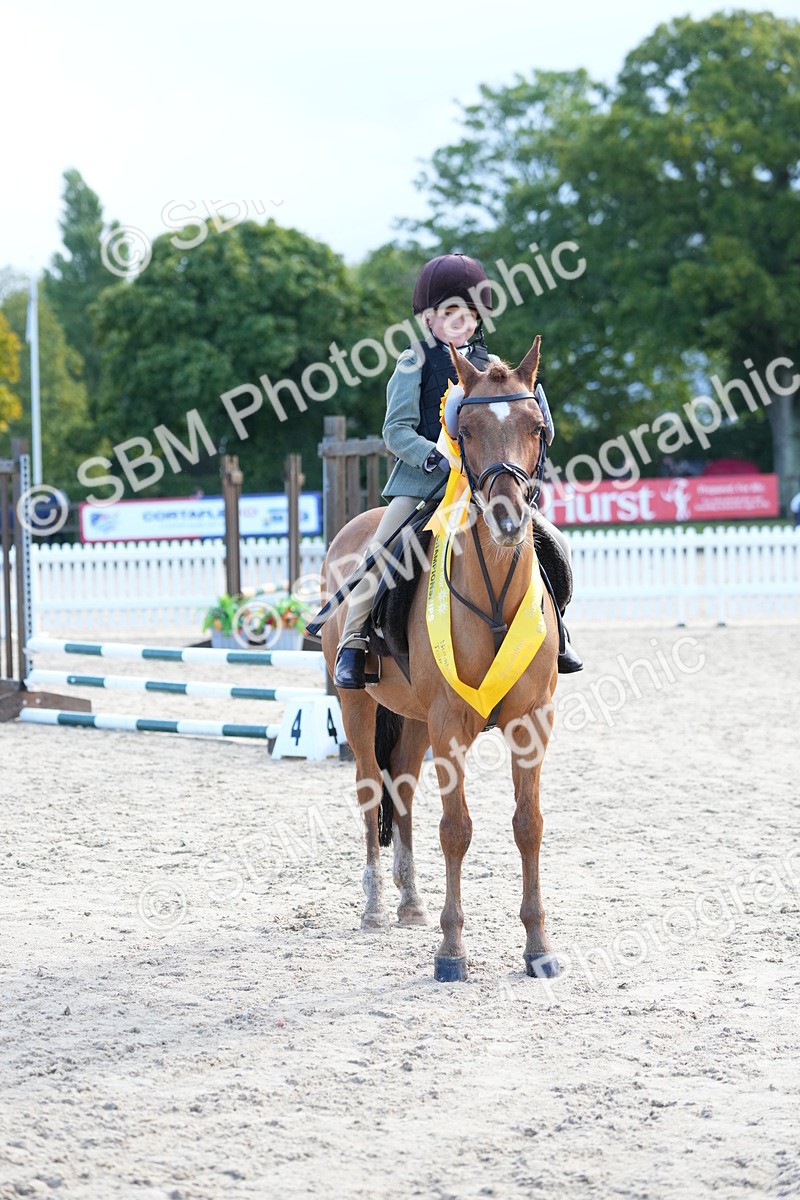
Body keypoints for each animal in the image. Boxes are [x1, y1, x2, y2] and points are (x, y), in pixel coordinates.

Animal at [320, 335, 562, 982]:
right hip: (357, 708)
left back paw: (411, 903)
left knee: (400, 789)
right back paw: (377, 907)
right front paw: (452, 952)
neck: (494, 594)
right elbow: (456, 829)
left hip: (413, 721)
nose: (507, 519)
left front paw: (538, 947)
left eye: (535, 427)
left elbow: (528, 826)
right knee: (369, 790)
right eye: (466, 430)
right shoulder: (451, 723)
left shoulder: (531, 723)